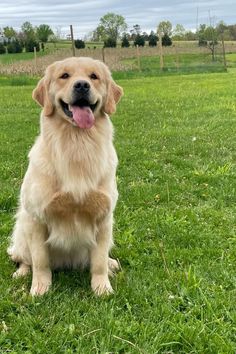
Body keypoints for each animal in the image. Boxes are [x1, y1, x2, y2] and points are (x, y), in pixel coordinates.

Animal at [7, 56, 123, 296]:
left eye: (94, 76)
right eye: (64, 76)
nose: (82, 86)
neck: (77, 143)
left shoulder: (104, 217)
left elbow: (98, 261)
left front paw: (102, 288)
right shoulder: (36, 219)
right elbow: (40, 261)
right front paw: (40, 288)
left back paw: (111, 263)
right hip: (22, 227)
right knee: (24, 258)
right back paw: (21, 273)